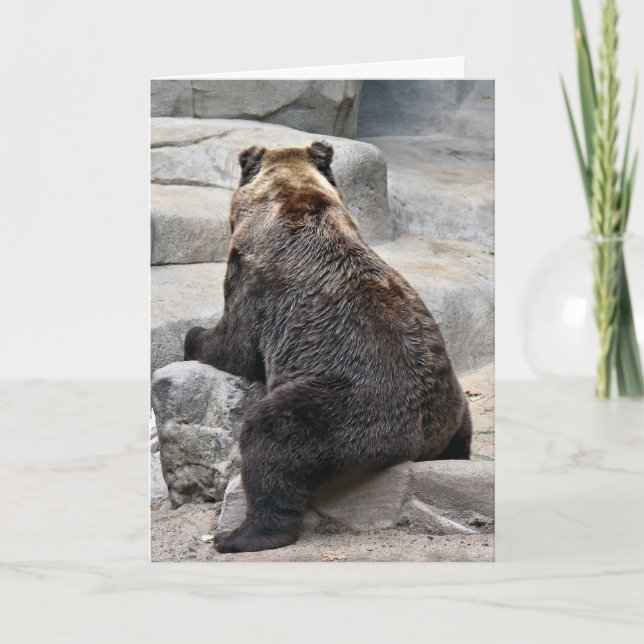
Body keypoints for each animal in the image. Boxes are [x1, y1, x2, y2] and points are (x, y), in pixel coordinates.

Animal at [184, 140, 472, 553]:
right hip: (450, 399)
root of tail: (419, 441)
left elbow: (236, 345)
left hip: (348, 406)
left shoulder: (254, 277)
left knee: (270, 434)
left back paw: (241, 535)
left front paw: (192, 337)